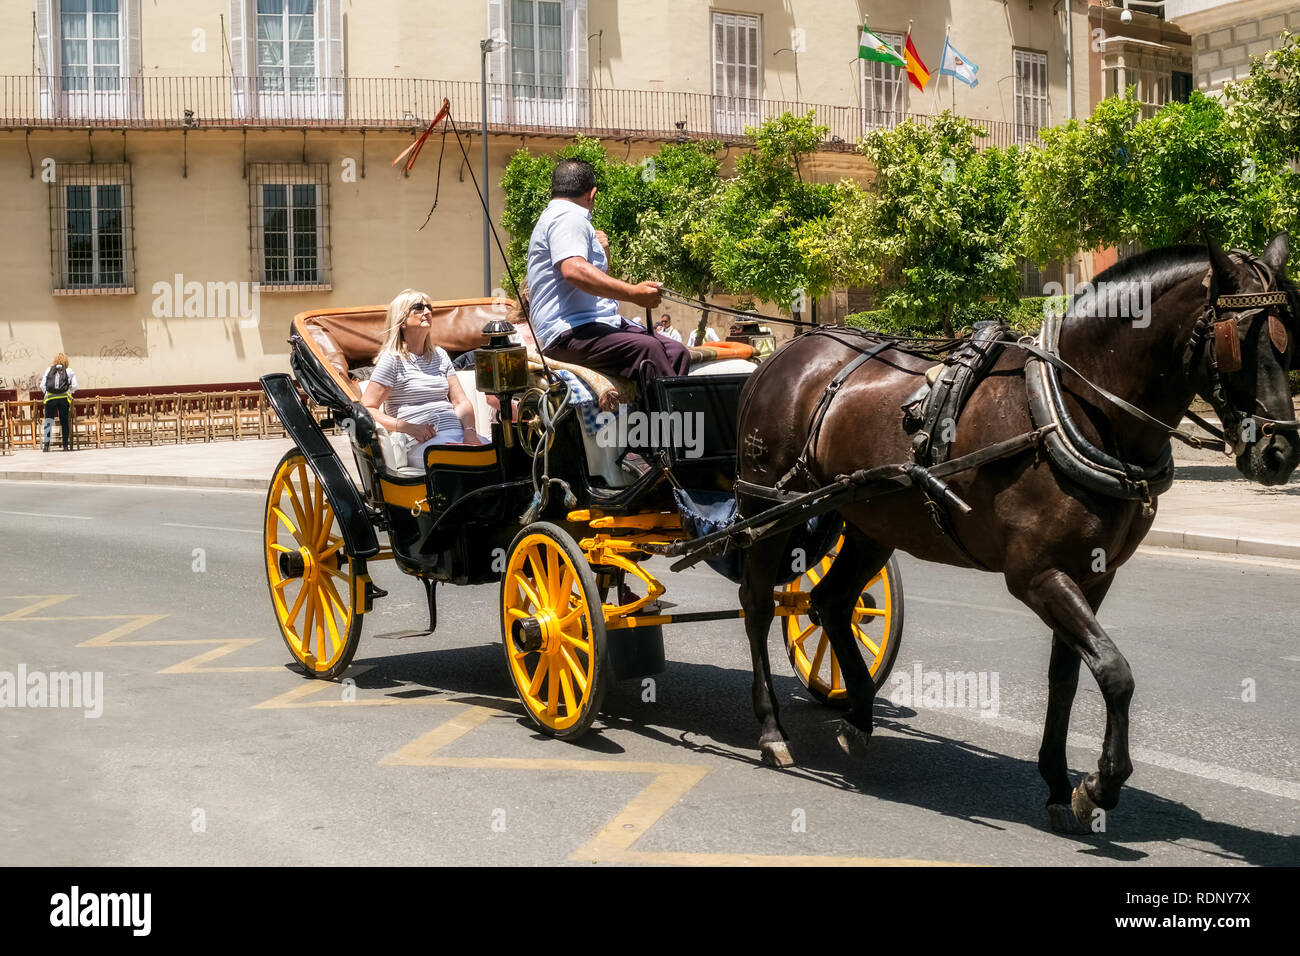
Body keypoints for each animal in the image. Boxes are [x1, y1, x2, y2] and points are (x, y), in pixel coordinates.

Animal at [738, 235, 1294, 832]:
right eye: (1238, 339)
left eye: (1289, 337)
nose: (1280, 453)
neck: (1069, 407)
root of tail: (782, 354)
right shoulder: (1036, 574)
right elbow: (1115, 672)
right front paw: (1100, 784)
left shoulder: (1092, 576)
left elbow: (1069, 675)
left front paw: (1057, 781)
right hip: (766, 508)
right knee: (758, 604)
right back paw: (770, 728)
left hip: (868, 520)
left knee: (832, 601)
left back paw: (860, 714)